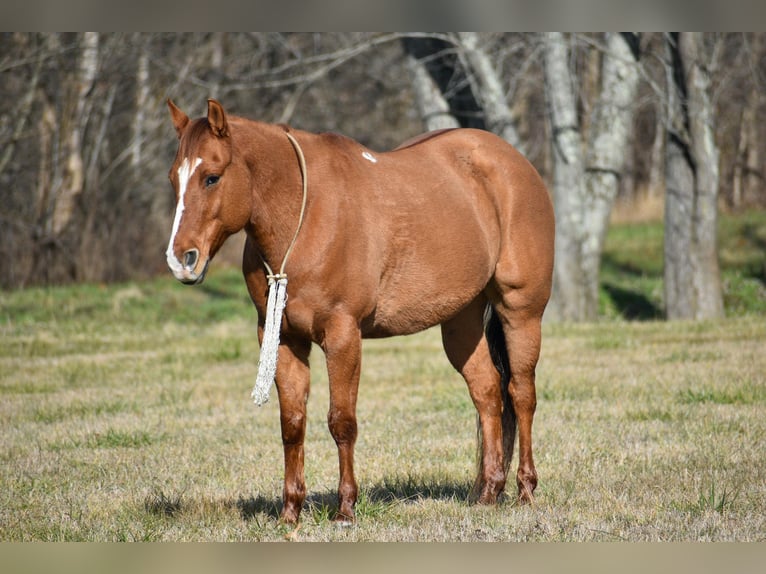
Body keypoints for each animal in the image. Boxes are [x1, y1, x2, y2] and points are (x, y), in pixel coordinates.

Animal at [165, 100, 556, 528]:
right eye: (174, 179)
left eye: (212, 177)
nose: (181, 260)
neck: (304, 217)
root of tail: (515, 163)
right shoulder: (283, 339)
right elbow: (292, 424)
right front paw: (290, 512)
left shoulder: (342, 335)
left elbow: (342, 421)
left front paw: (346, 509)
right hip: (461, 321)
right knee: (487, 393)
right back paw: (487, 492)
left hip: (520, 311)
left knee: (521, 394)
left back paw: (525, 489)